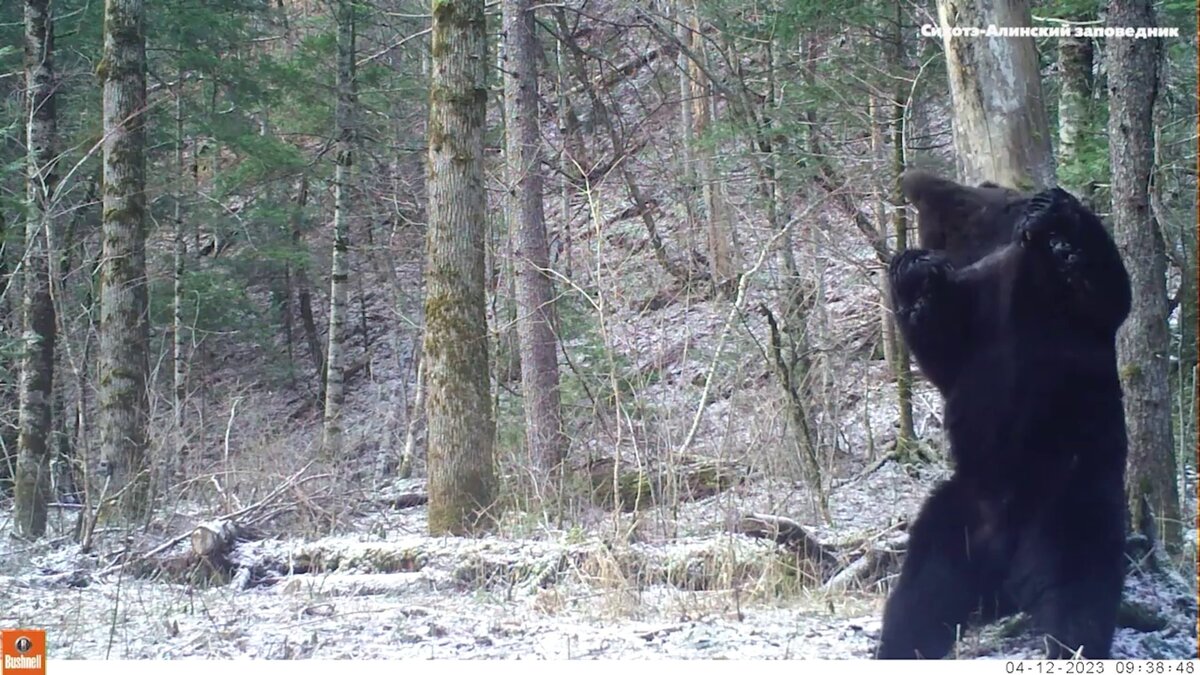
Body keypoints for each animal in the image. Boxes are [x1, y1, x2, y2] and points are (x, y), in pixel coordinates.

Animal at [878, 169, 1128, 658]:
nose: (917, 182)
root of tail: (1002, 555)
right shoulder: (976, 317)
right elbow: (941, 350)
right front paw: (913, 272)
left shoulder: (1060, 310)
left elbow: (1107, 290)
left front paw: (1055, 212)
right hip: (953, 519)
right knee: (918, 596)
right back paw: (897, 646)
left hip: (1069, 503)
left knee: (1079, 588)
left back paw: (1072, 646)